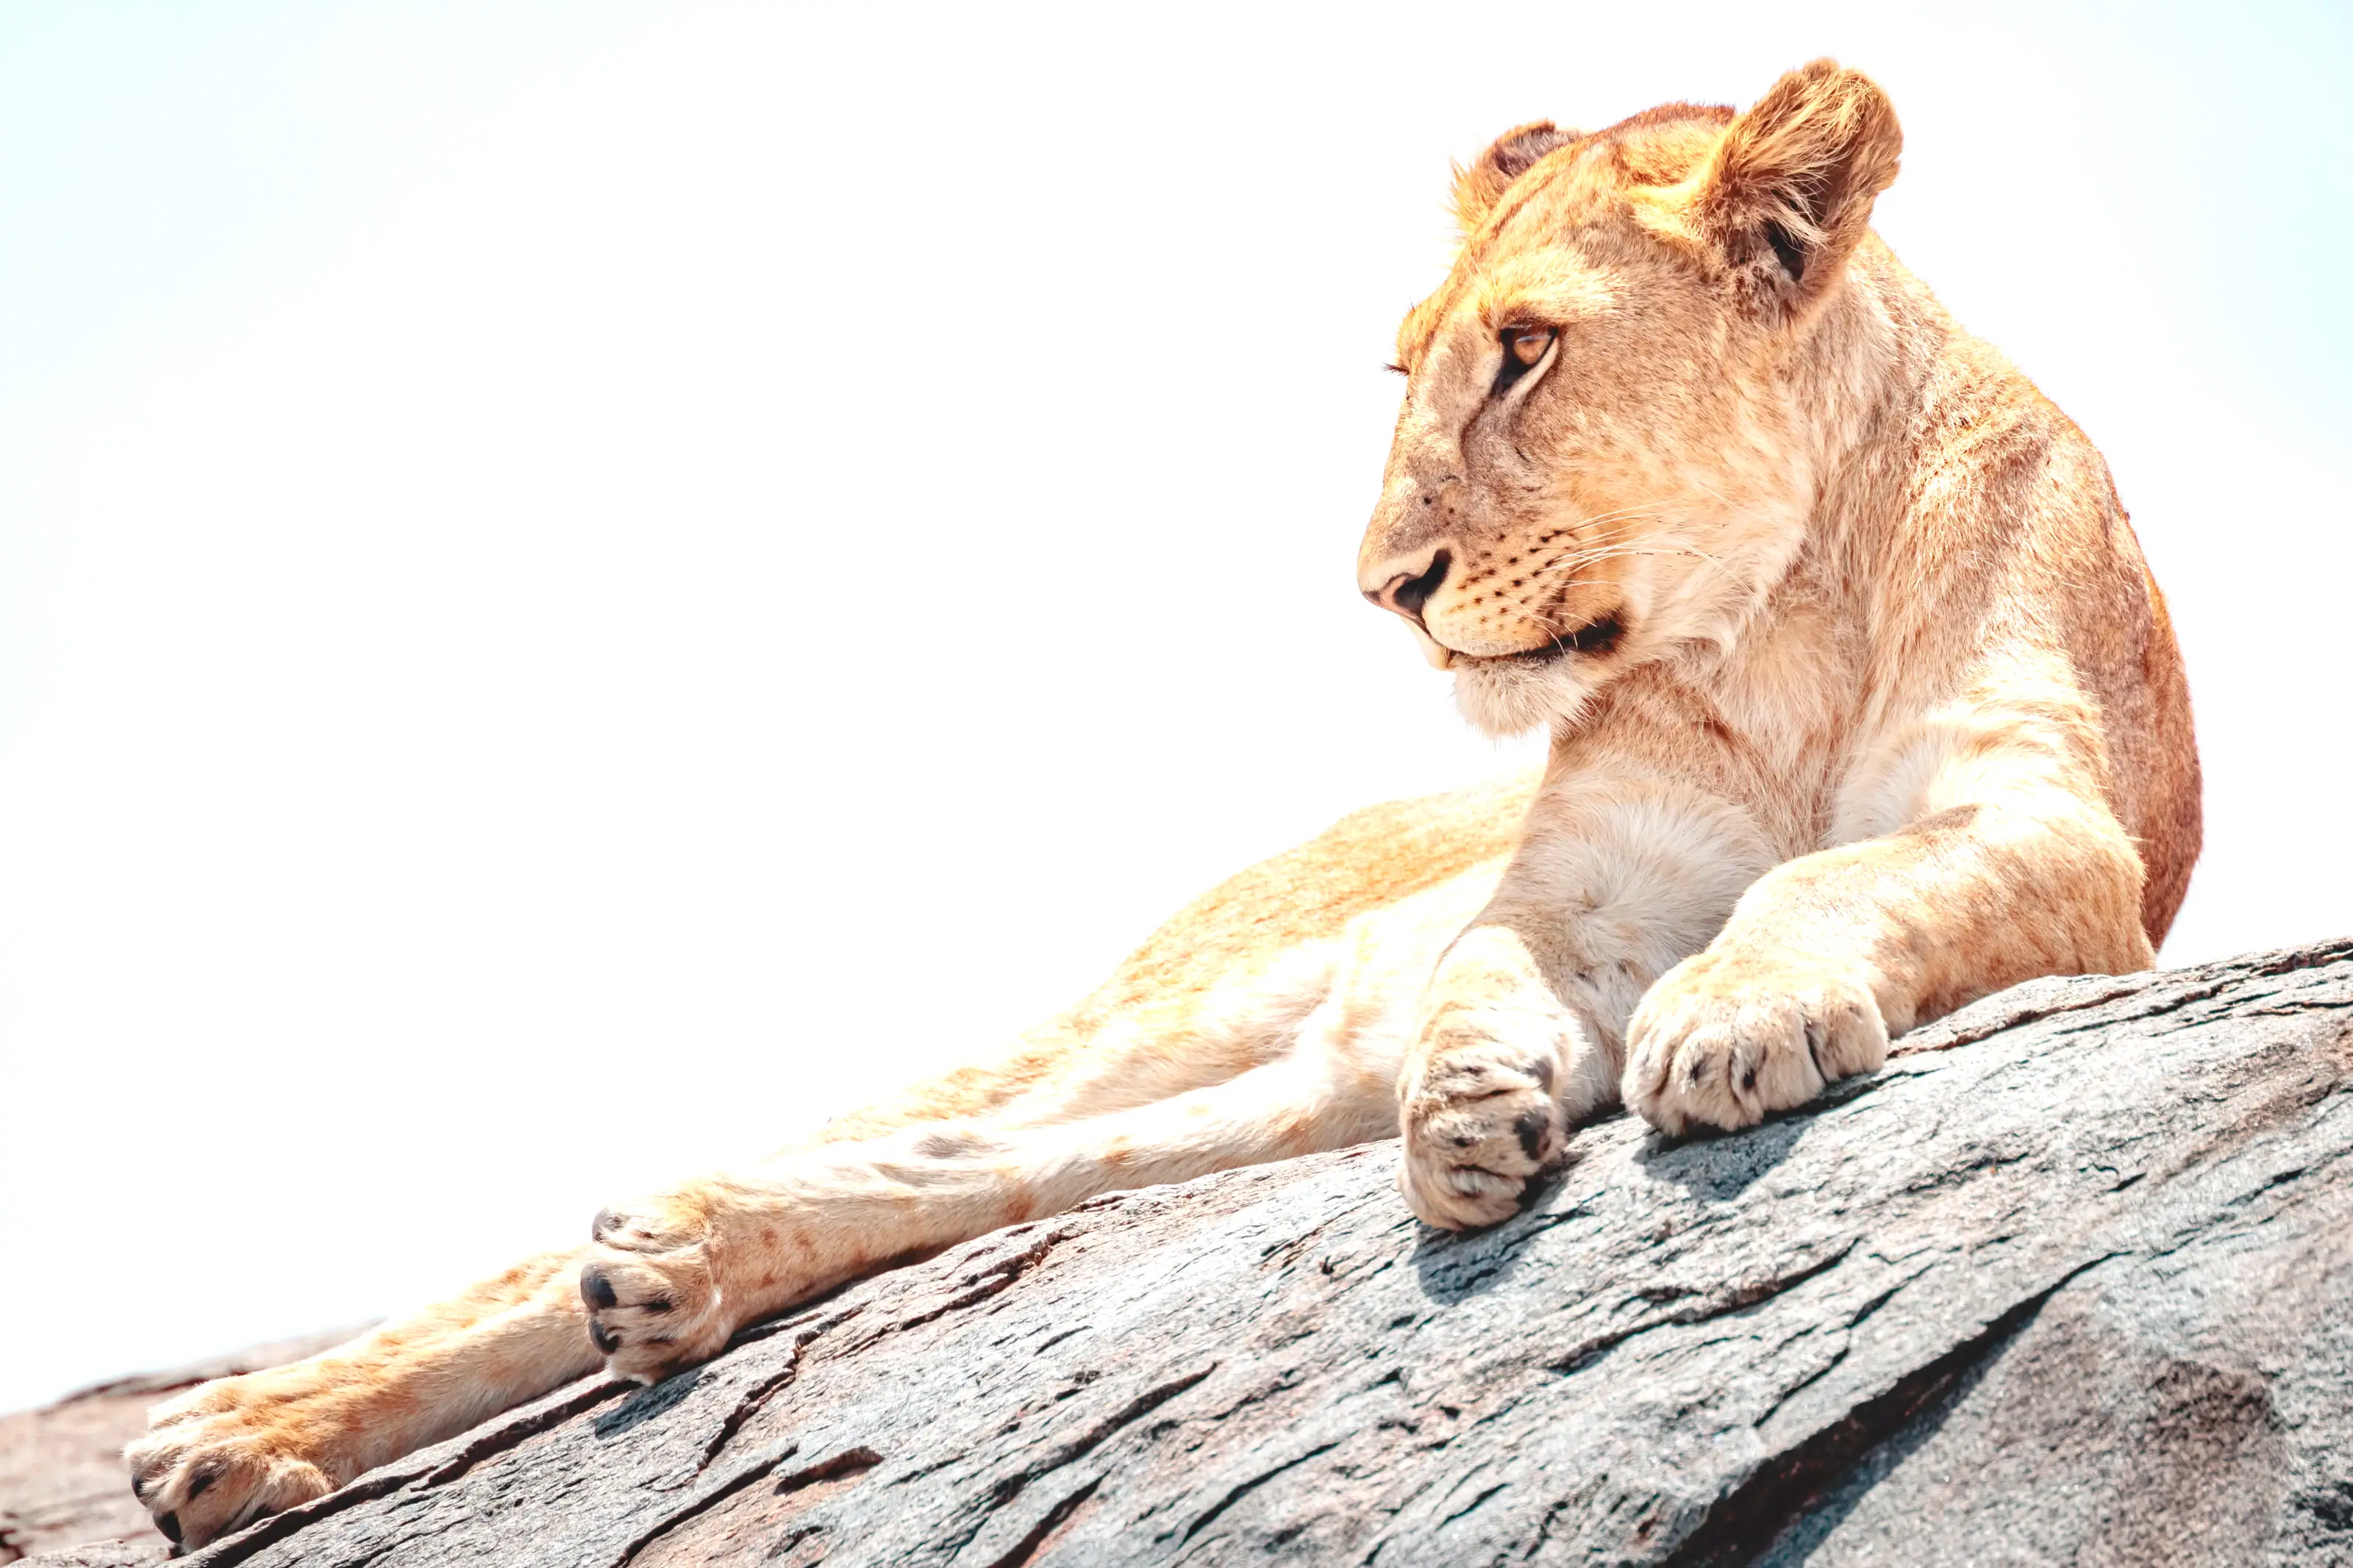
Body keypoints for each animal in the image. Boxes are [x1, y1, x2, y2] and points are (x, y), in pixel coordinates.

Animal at [127, 60, 2197, 1550]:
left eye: (1527, 351)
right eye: (1407, 362)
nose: (1383, 585)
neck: (1769, 617)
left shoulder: (2067, 836)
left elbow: (1836, 879)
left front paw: (1736, 1017)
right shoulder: (1577, 895)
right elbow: (1494, 965)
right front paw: (1474, 1102)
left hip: (1239, 1101)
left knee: (956, 1172)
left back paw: (673, 1273)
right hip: (1149, 1011)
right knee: (761, 1175)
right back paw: (236, 1432)